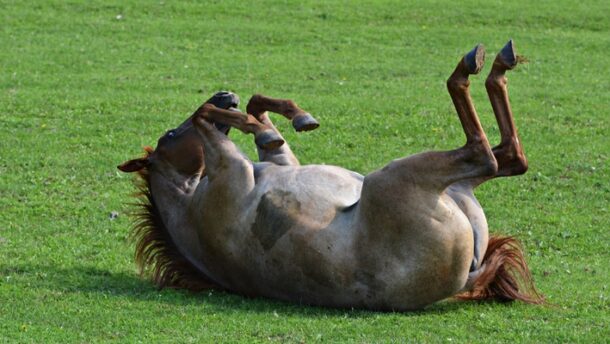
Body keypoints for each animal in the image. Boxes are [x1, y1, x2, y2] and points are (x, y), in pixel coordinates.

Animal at [117, 41, 540, 312]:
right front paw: (253, 122)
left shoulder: (277, 161)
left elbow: (259, 110)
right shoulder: (229, 166)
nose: (224, 94)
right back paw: (478, 67)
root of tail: (468, 276)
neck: (192, 205)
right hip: (396, 177)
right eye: (169, 135)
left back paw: (497, 65)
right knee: (487, 155)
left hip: (452, 185)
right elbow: (209, 117)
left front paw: (290, 119)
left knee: (507, 156)